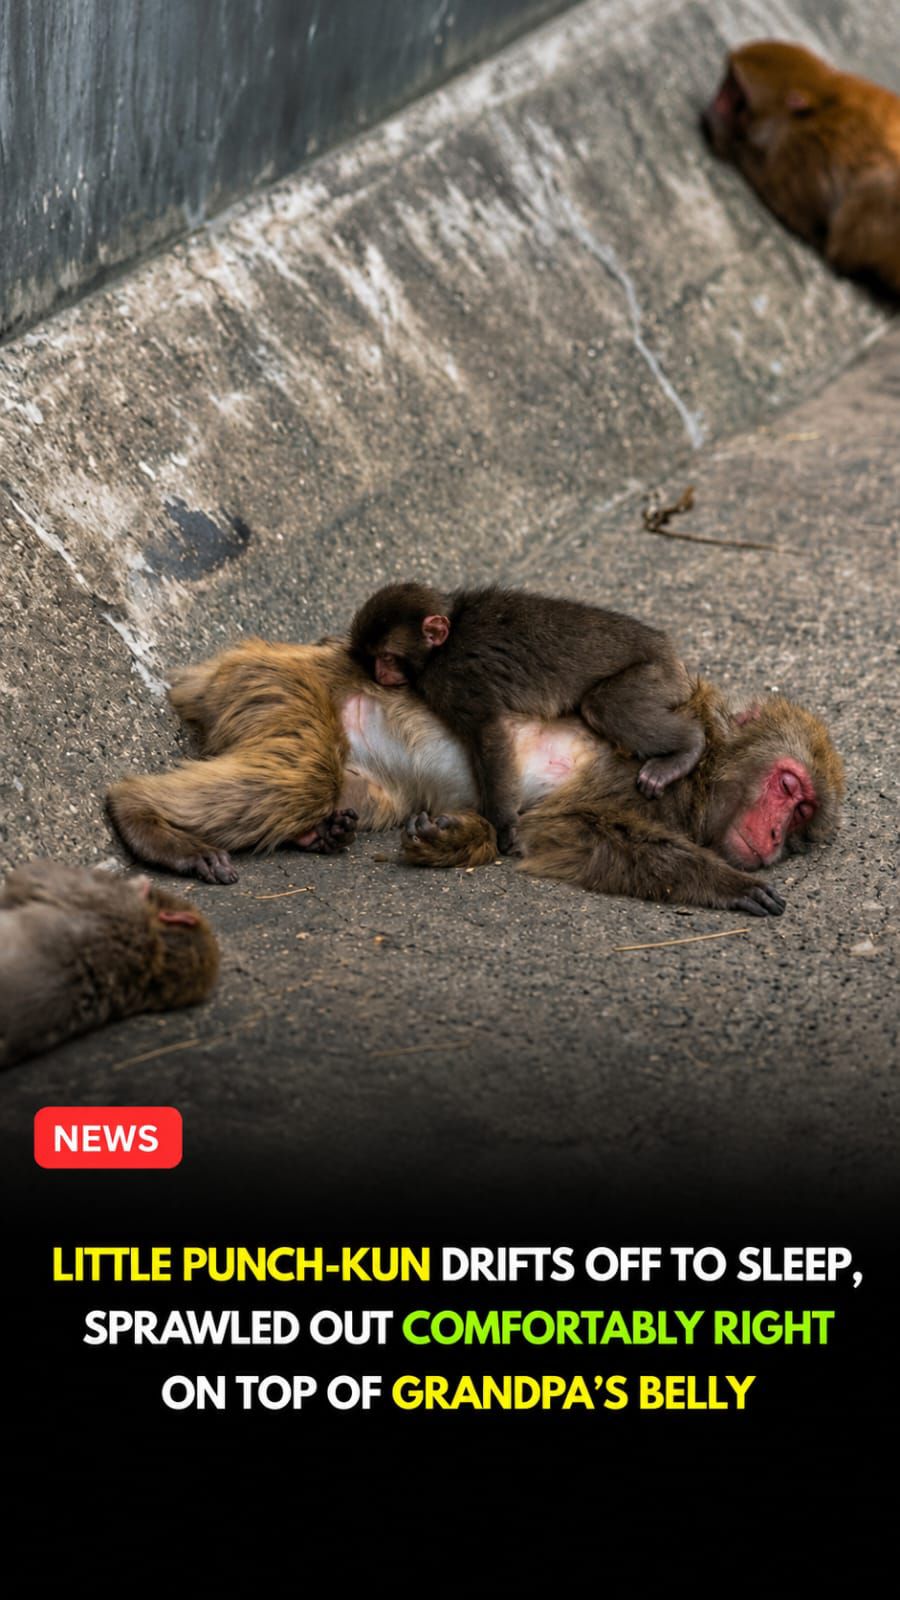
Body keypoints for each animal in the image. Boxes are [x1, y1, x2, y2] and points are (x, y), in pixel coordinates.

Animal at [106, 636, 843, 918]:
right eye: (788, 788)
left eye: (803, 818)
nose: (774, 837)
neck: (704, 775)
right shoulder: (641, 764)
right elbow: (569, 832)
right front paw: (724, 885)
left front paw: (449, 839)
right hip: (283, 689)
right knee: (297, 778)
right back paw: (142, 817)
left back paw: (320, 833)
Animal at [348, 583, 706, 851]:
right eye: (372, 658)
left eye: (387, 657)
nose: (380, 674)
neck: (444, 643)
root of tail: (672, 655)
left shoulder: (453, 679)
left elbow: (489, 730)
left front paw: (504, 825)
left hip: (652, 675)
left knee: (604, 706)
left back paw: (687, 748)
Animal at [703, 40, 900, 294]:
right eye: (726, 82)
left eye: (734, 91)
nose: (717, 102)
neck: (820, 104)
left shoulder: (801, 153)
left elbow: (786, 199)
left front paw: (722, 132)